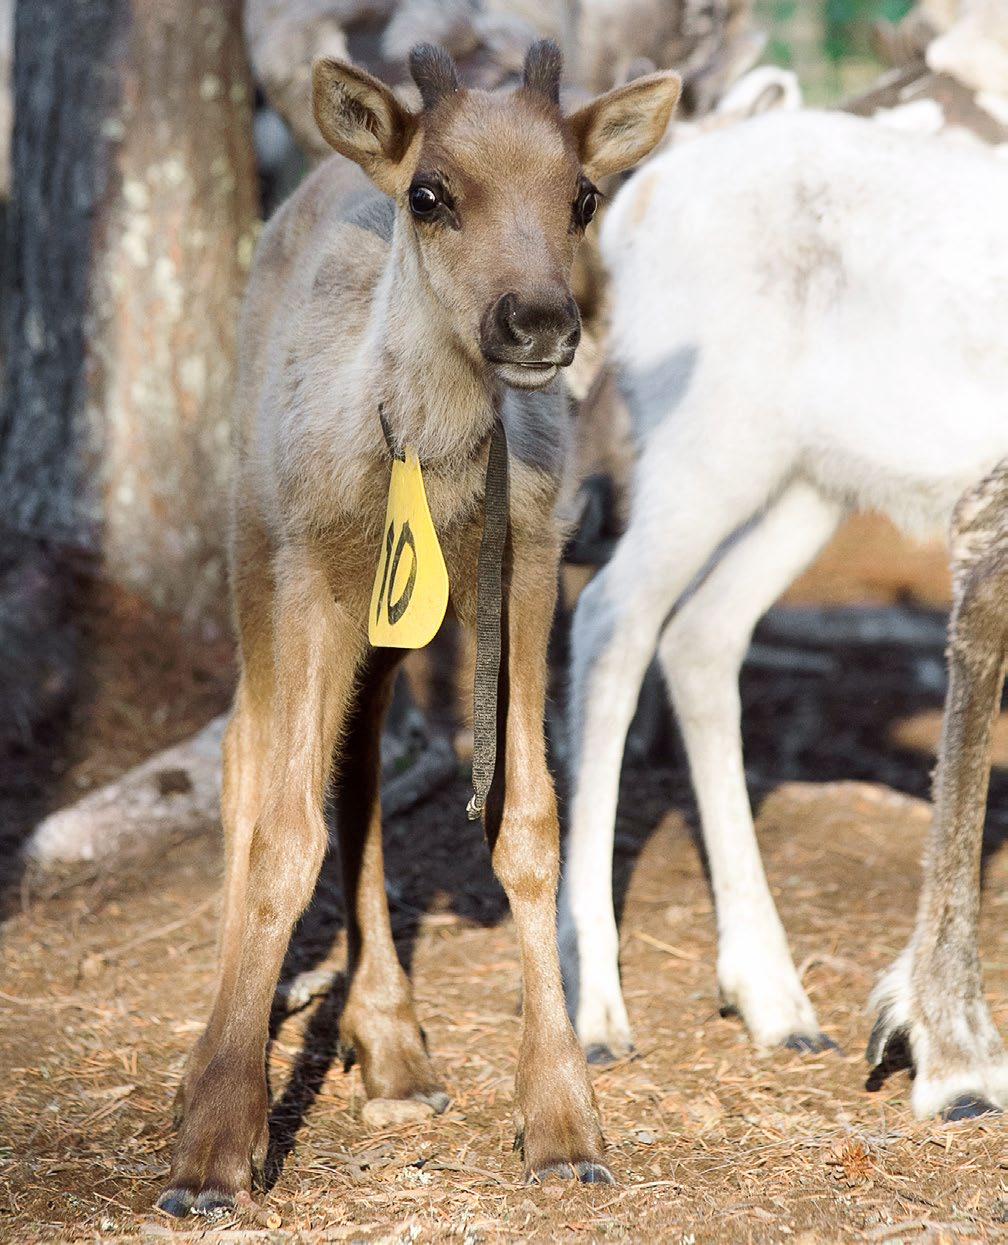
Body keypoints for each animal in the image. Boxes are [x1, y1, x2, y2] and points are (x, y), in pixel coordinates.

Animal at [156, 41, 676, 1215]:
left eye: (582, 195)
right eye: (432, 195)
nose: (538, 322)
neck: (429, 474)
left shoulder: (526, 575)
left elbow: (528, 822)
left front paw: (563, 1120)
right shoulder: (309, 574)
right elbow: (283, 830)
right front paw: (215, 1143)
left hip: (387, 627)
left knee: (355, 771)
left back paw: (391, 1047)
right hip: (256, 548)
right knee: (250, 758)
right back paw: (220, 1051)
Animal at [557, 109, 1005, 1120]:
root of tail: (642, 195)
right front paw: (953, 1054)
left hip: (810, 481)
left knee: (702, 633)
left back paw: (770, 992)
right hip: (711, 447)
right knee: (612, 618)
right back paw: (595, 1003)